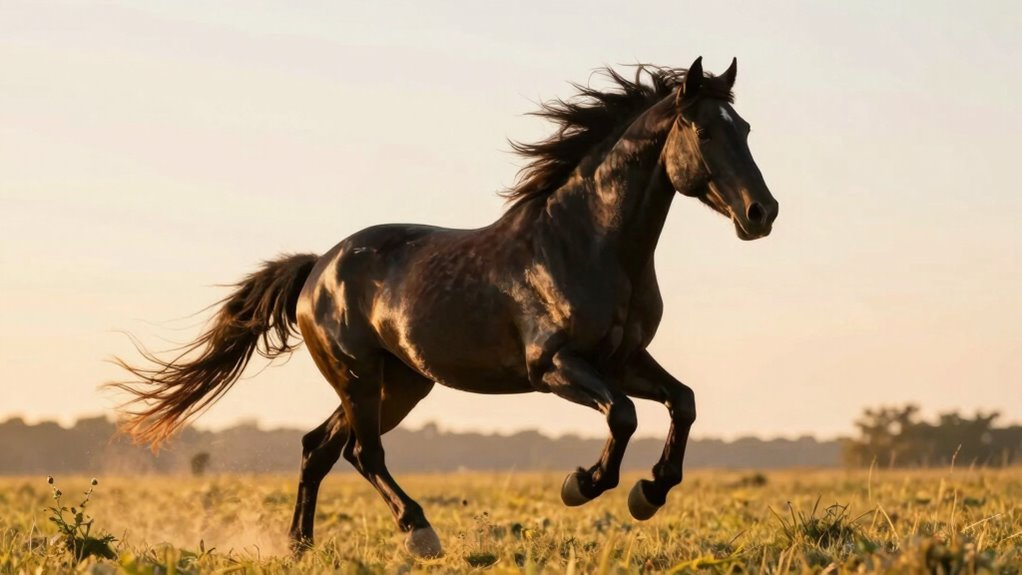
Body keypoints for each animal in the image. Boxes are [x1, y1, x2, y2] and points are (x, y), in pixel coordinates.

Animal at [111, 57, 778, 558]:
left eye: (745, 128)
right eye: (704, 131)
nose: (761, 213)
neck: (587, 243)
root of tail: (318, 268)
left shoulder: (625, 358)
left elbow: (682, 403)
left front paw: (649, 493)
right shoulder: (554, 366)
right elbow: (623, 416)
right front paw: (583, 485)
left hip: (402, 382)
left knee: (319, 448)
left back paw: (300, 546)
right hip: (360, 376)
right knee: (361, 452)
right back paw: (420, 533)